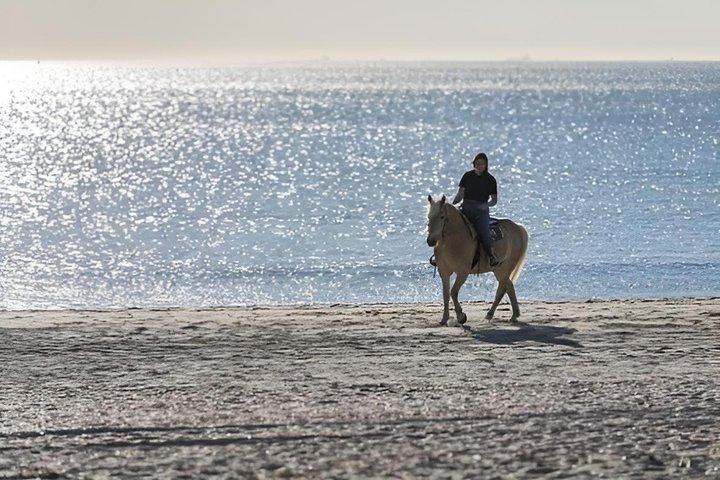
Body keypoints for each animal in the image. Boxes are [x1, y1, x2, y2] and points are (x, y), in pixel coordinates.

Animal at [426, 195, 529, 326]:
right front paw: (444, 319)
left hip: (505, 268)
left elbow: (453, 292)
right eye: (429, 216)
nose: (430, 241)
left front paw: (461, 316)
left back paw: (495, 315)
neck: (454, 240)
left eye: (442, 216)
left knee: (503, 288)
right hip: (499, 270)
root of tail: (518, 227)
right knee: (508, 286)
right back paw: (510, 315)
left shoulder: (463, 273)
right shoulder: (444, 272)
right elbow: (446, 294)